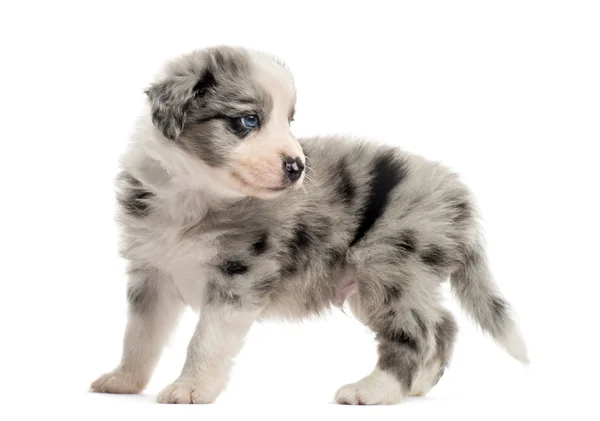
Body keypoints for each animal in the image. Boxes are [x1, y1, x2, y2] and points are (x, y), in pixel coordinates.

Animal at [91, 45, 528, 404]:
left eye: (289, 120)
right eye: (248, 120)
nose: (297, 167)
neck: (193, 192)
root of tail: (460, 198)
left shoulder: (239, 275)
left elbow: (206, 339)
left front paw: (191, 387)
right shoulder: (152, 273)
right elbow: (139, 335)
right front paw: (124, 380)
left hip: (390, 268)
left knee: (416, 331)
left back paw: (375, 391)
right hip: (380, 284)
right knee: (444, 323)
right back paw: (416, 386)